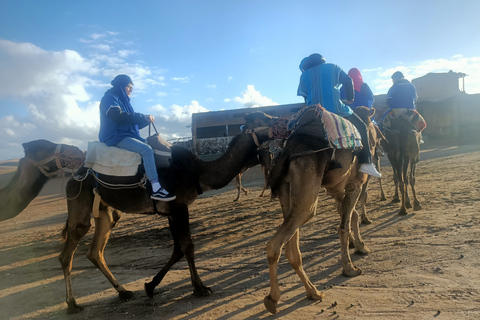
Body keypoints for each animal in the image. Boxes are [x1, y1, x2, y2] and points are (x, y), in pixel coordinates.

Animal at [59, 129, 270, 314]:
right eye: (266, 145)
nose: (272, 159)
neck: (198, 172)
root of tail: (72, 178)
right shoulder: (180, 206)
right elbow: (188, 246)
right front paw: (200, 288)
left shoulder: (171, 212)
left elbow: (178, 249)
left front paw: (150, 286)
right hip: (80, 202)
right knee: (67, 253)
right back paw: (72, 304)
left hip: (104, 211)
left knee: (95, 251)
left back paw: (124, 292)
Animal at [244, 110, 372, 316]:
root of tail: (289, 151)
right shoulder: (354, 184)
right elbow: (344, 225)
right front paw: (349, 268)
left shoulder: (337, 189)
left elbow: (351, 216)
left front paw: (359, 246)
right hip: (307, 199)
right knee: (275, 244)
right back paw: (274, 298)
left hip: (288, 193)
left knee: (291, 249)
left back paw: (312, 292)